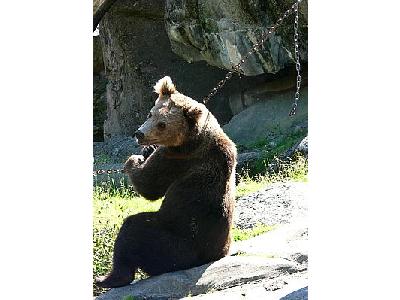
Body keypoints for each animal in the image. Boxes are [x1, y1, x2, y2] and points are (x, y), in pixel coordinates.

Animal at [95, 76, 236, 288]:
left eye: (162, 124)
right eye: (150, 113)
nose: (139, 134)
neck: (194, 137)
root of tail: (209, 257)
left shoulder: (177, 159)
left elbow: (149, 185)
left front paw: (134, 160)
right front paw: (146, 150)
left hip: (174, 244)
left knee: (133, 231)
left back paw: (108, 278)